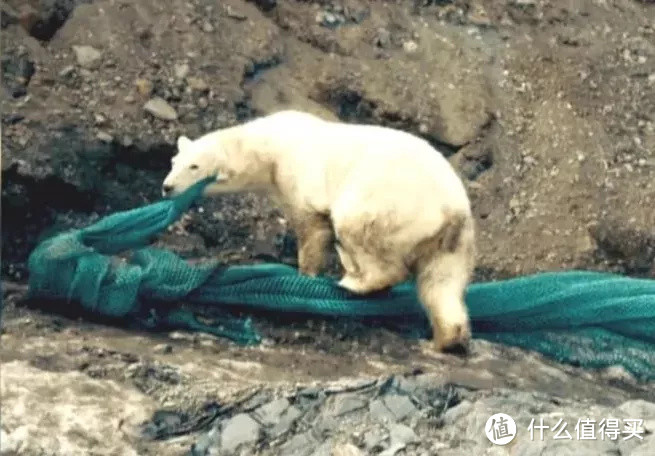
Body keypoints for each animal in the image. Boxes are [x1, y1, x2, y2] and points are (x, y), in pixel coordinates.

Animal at [159, 110, 476, 352]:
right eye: (174, 161)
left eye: (194, 166)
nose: (166, 186)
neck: (270, 143)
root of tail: (451, 209)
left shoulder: (297, 175)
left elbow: (311, 226)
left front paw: (304, 276)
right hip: (452, 241)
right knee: (441, 284)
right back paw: (448, 340)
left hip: (391, 203)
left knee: (359, 229)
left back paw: (353, 280)